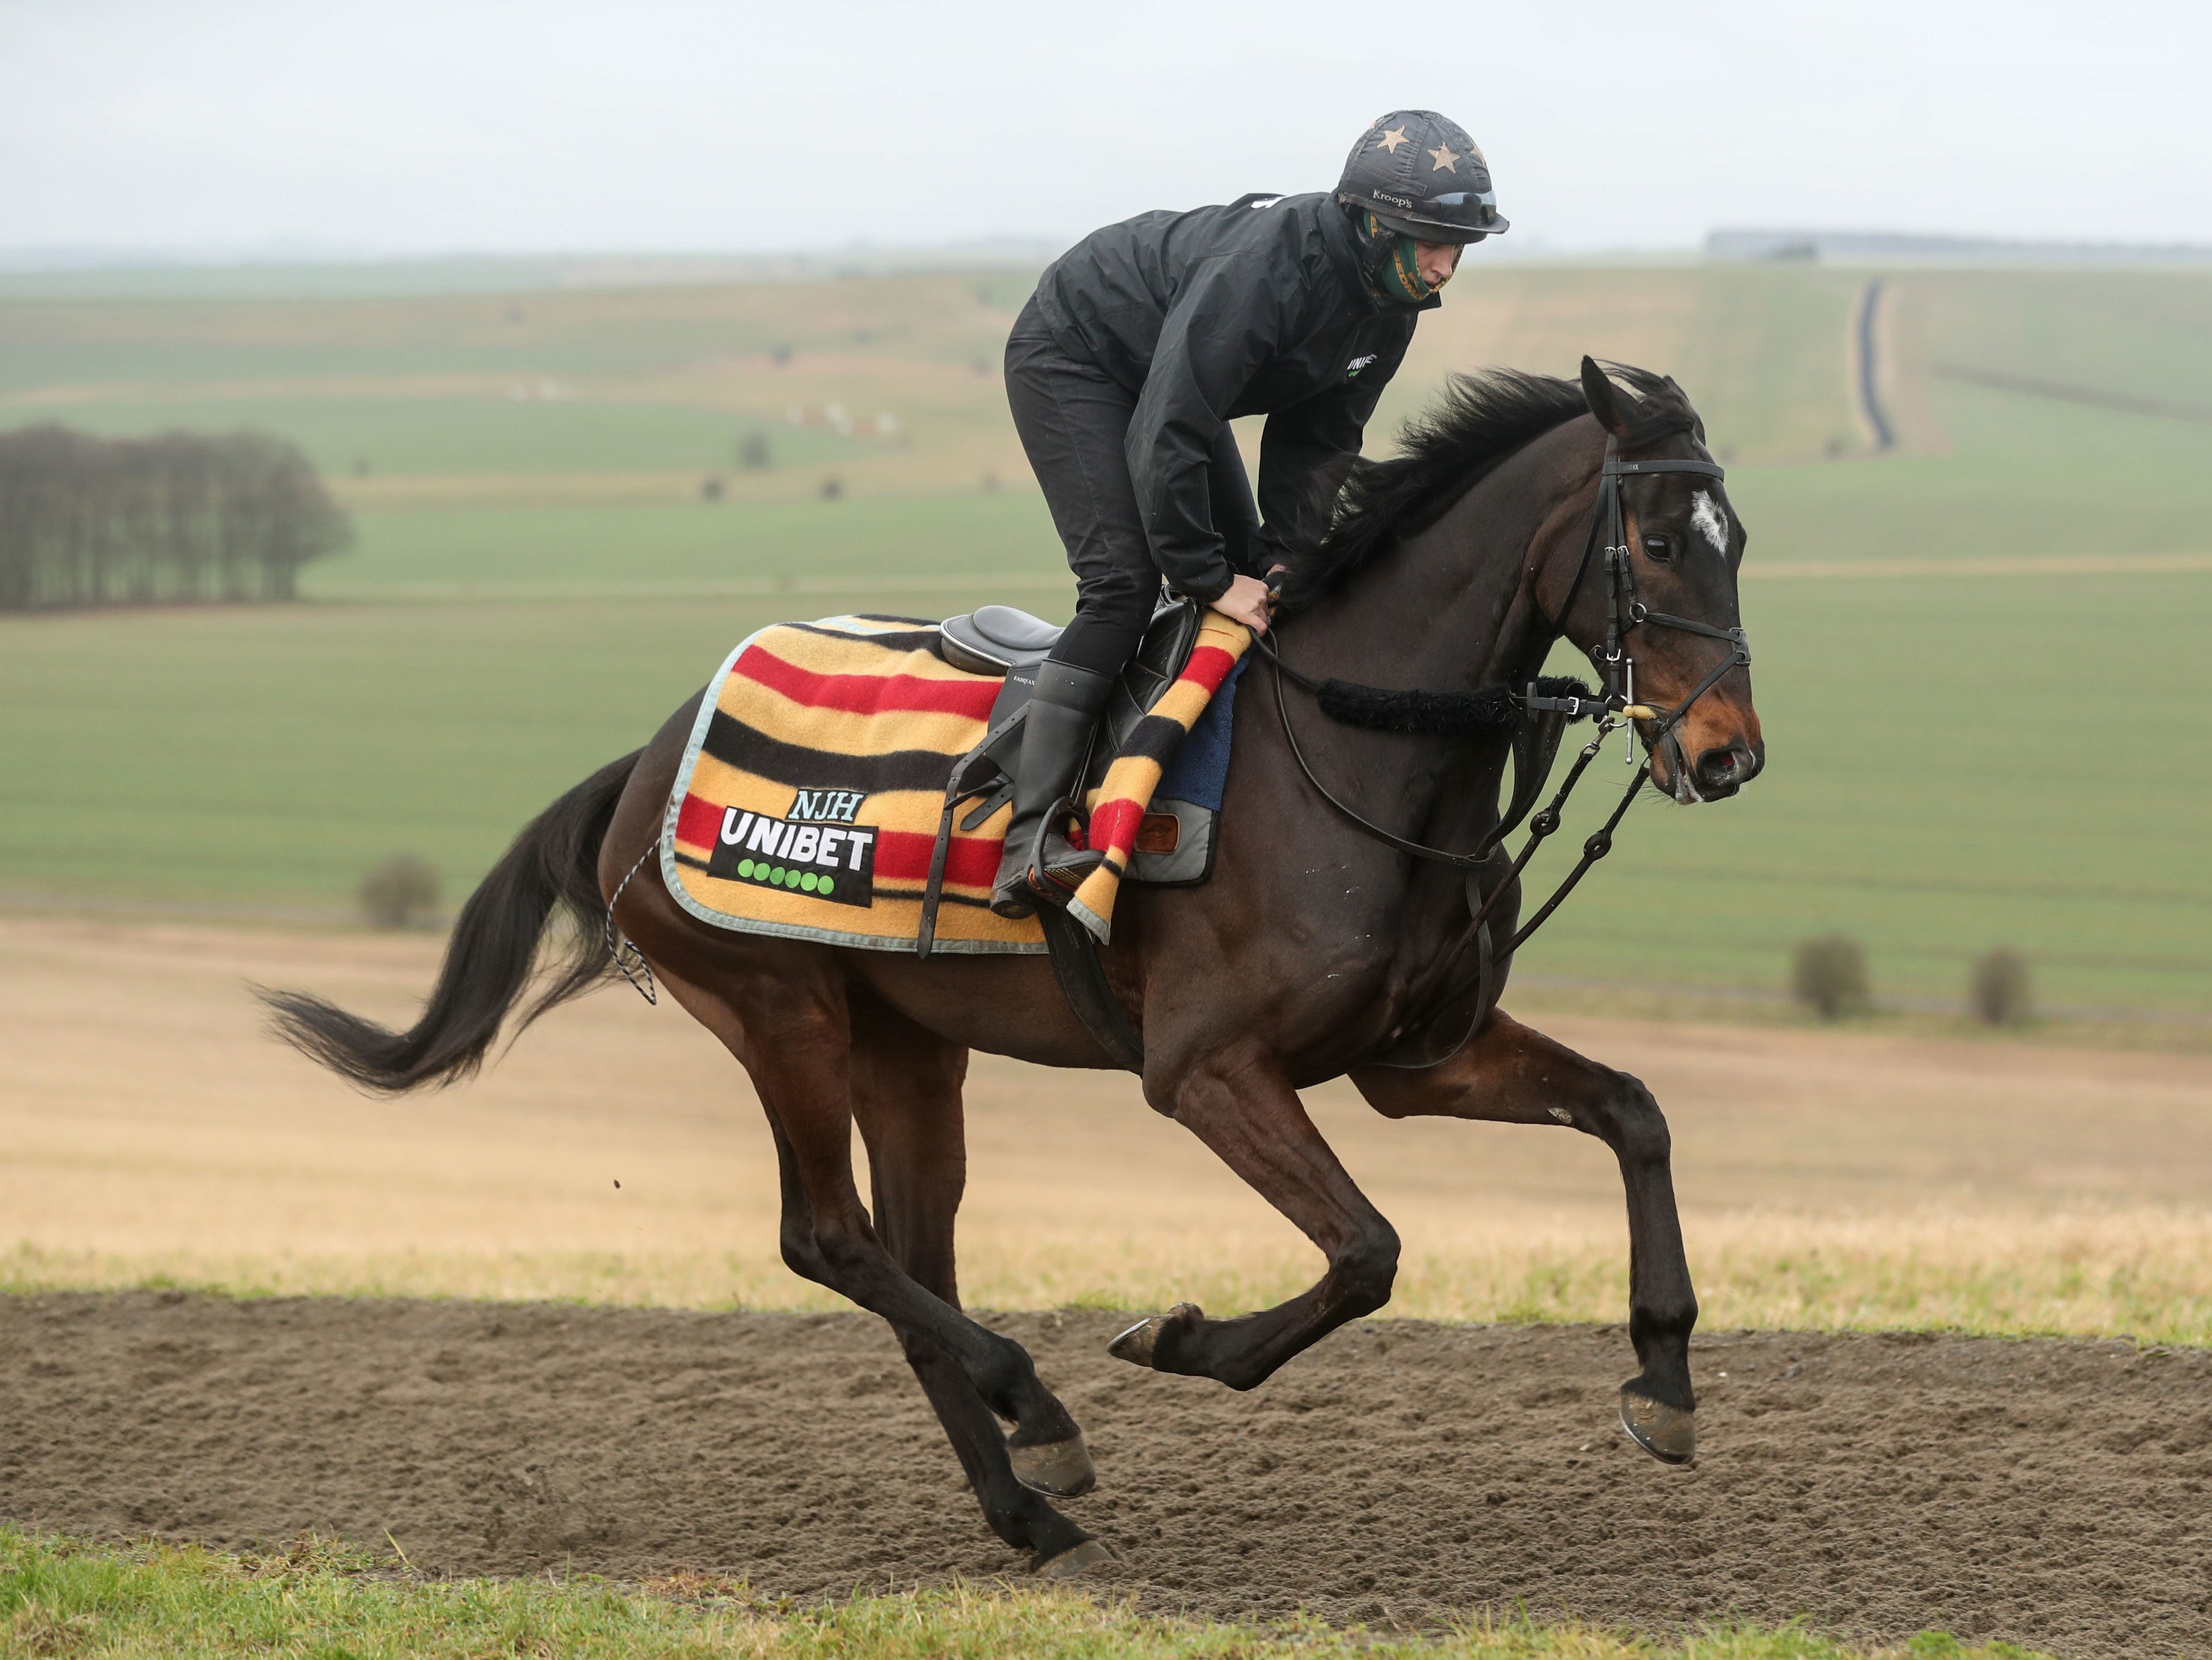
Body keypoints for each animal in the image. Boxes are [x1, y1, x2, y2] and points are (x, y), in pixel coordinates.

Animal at [267, 358, 1770, 1573]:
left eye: (1739, 540)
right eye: (1653, 539)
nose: (1728, 753)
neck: (1350, 751)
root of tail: (644, 761)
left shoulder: (1412, 1057)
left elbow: (1634, 1111)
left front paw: (1665, 1377)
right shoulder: (1205, 1069)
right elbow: (1368, 1251)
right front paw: (1177, 1339)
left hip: (910, 1046)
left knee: (908, 1257)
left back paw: (1026, 1506)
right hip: (780, 1010)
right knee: (830, 1237)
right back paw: (1037, 1411)